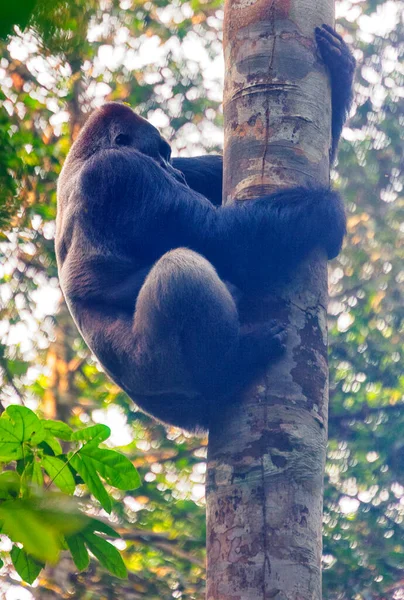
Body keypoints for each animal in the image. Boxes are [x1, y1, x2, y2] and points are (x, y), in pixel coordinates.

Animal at [56, 24, 354, 432]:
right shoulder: (123, 173)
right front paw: (327, 210)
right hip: (158, 371)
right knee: (182, 269)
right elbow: (221, 241)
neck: (86, 153)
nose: (174, 172)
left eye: (169, 155)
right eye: (158, 153)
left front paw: (341, 73)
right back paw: (230, 365)